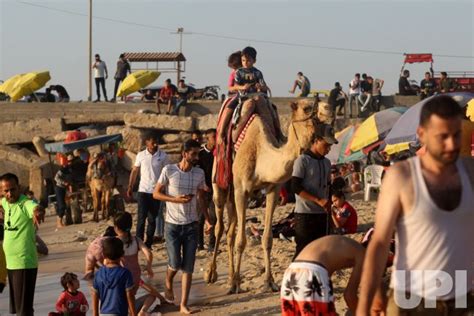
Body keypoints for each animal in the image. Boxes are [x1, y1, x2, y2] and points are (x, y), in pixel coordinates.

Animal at [205, 97, 318, 294]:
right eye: (306, 108)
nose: (323, 111)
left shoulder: (273, 189)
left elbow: (267, 238)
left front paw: (269, 282)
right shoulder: (242, 191)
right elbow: (241, 241)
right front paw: (235, 284)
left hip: (234, 197)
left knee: (230, 231)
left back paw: (230, 276)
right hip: (220, 185)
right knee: (220, 227)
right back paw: (213, 274)